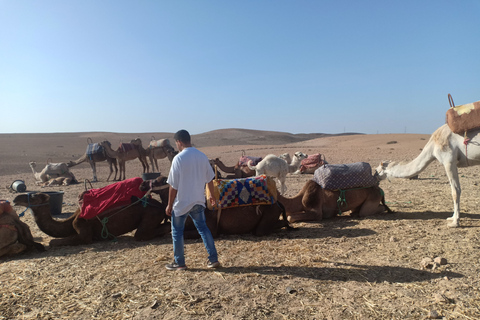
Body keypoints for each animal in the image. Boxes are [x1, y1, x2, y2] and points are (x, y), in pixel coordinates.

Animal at [12, 191, 171, 246]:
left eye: (34, 196)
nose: (15, 198)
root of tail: (161, 206)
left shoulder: (81, 227)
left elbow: (54, 242)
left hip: (151, 214)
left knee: (141, 234)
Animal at [137, 176, 290, 236]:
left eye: (158, 181)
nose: (142, 184)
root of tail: (278, 203)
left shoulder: (211, 228)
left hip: (268, 216)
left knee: (264, 229)